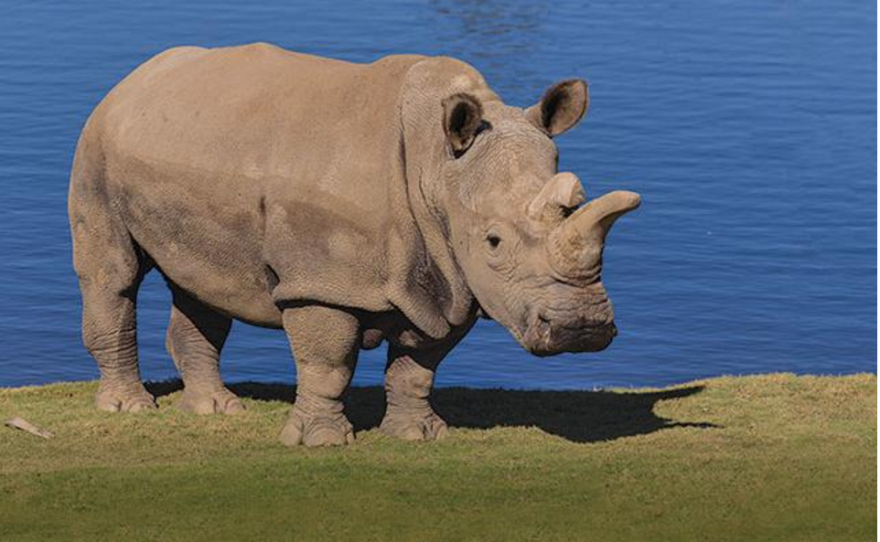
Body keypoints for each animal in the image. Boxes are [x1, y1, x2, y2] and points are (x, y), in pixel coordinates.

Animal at [68, 43, 641, 446]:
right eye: (494, 241)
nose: (583, 328)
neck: (439, 170)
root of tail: (135, 76)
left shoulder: (452, 274)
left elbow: (419, 365)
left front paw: (418, 436)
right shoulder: (322, 281)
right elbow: (328, 363)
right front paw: (321, 442)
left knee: (204, 285)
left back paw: (215, 410)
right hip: (97, 145)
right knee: (112, 274)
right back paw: (129, 408)